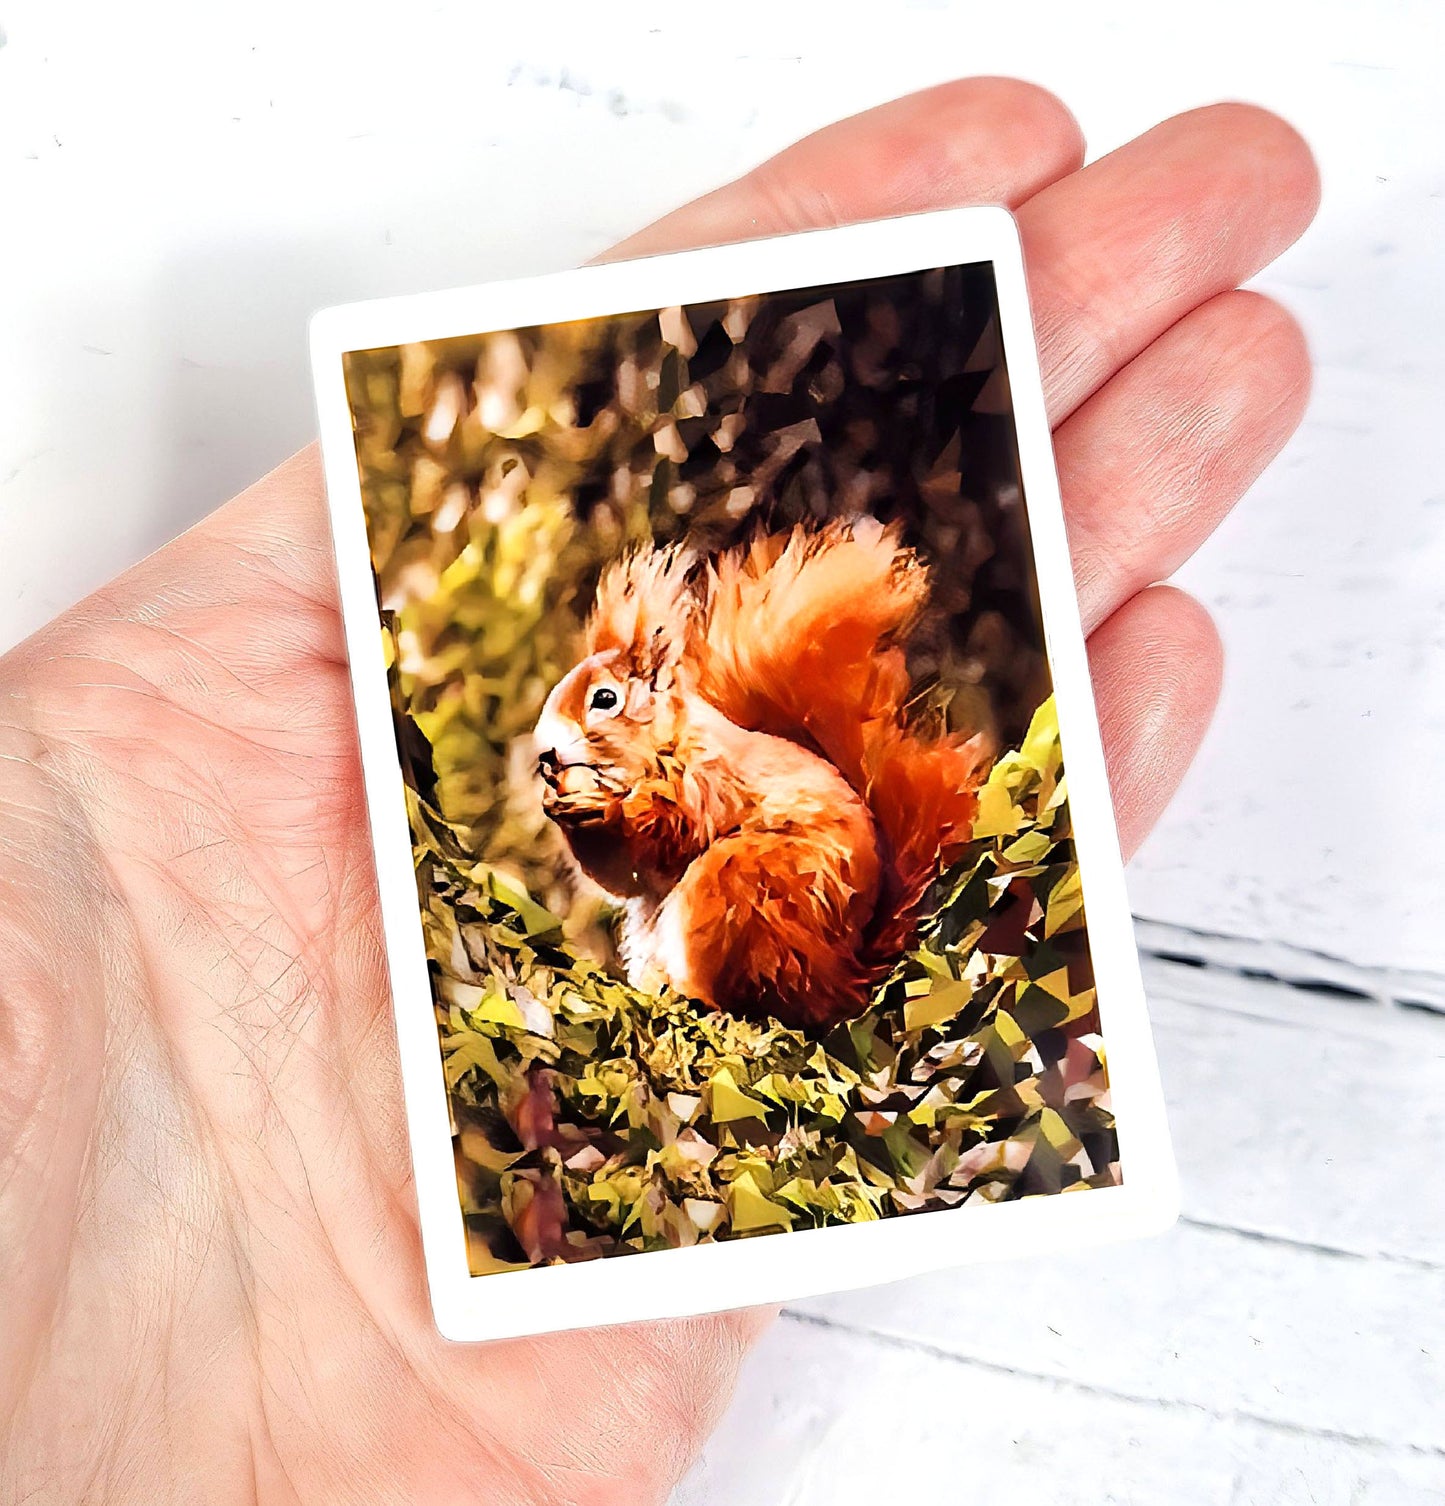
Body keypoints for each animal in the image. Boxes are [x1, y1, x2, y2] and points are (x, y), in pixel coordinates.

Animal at [533, 519, 987, 1030]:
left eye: (606, 700)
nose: (545, 755)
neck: (659, 748)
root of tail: (840, 980)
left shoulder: (709, 780)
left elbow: (674, 830)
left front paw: (607, 810)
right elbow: (620, 875)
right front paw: (558, 805)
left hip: (740, 889)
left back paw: (694, 997)